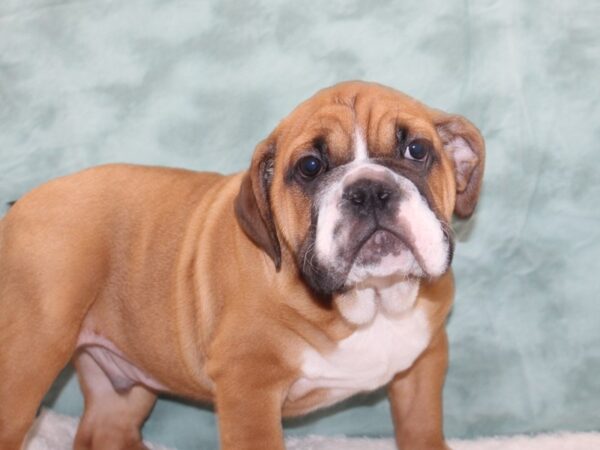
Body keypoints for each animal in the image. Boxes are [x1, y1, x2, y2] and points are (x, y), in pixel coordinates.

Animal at [0, 81, 482, 450]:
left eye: (416, 149)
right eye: (310, 166)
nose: (369, 191)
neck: (373, 298)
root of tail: (21, 204)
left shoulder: (423, 366)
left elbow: (421, 430)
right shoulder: (248, 388)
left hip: (122, 385)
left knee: (104, 431)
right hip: (30, 357)